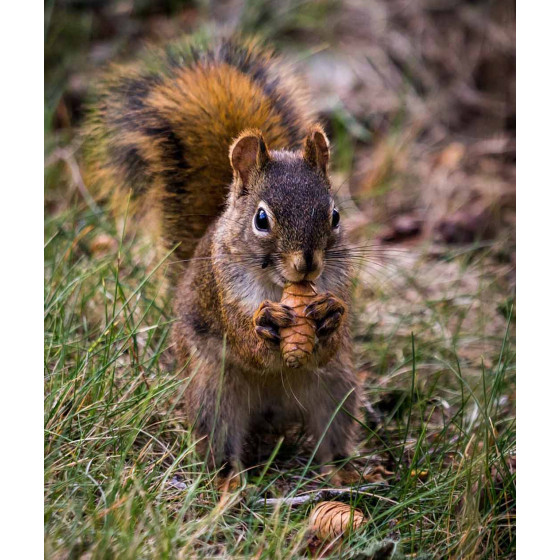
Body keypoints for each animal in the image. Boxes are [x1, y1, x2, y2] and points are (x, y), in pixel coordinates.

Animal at [83, 32, 364, 484]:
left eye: (335, 216)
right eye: (262, 219)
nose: (307, 264)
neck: (278, 287)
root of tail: (273, 412)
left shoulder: (337, 287)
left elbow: (329, 341)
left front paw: (328, 316)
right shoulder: (223, 292)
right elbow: (246, 342)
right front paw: (266, 325)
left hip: (336, 387)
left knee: (330, 436)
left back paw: (341, 475)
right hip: (213, 392)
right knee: (220, 441)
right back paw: (228, 481)